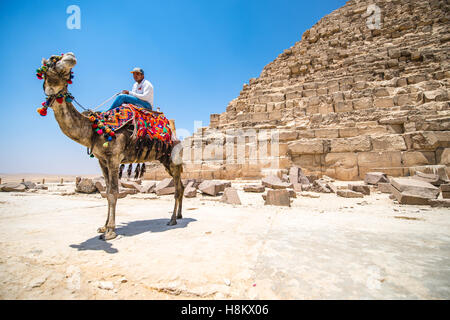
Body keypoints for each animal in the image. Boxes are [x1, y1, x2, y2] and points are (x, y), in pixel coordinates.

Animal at [38, 52, 185, 240]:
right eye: (51, 61)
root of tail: (176, 137)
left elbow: (113, 192)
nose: (70, 56)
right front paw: (103, 227)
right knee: (181, 186)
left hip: (173, 159)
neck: (95, 129)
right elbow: (107, 191)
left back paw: (172, 219)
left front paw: (110, 231)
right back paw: (179, 215)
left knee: (177, 188)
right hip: (166, 161)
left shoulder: (114, 158)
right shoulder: (102, 160)